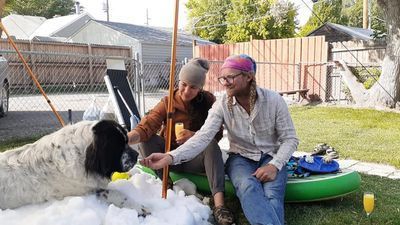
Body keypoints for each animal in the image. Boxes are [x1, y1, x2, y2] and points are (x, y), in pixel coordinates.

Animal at [0, 120, 141, 210]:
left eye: (127, 141)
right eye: (118, 146)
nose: (136, 155)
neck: (82, 155)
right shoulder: (86, 190)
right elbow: (117, 194)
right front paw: (140, 208)